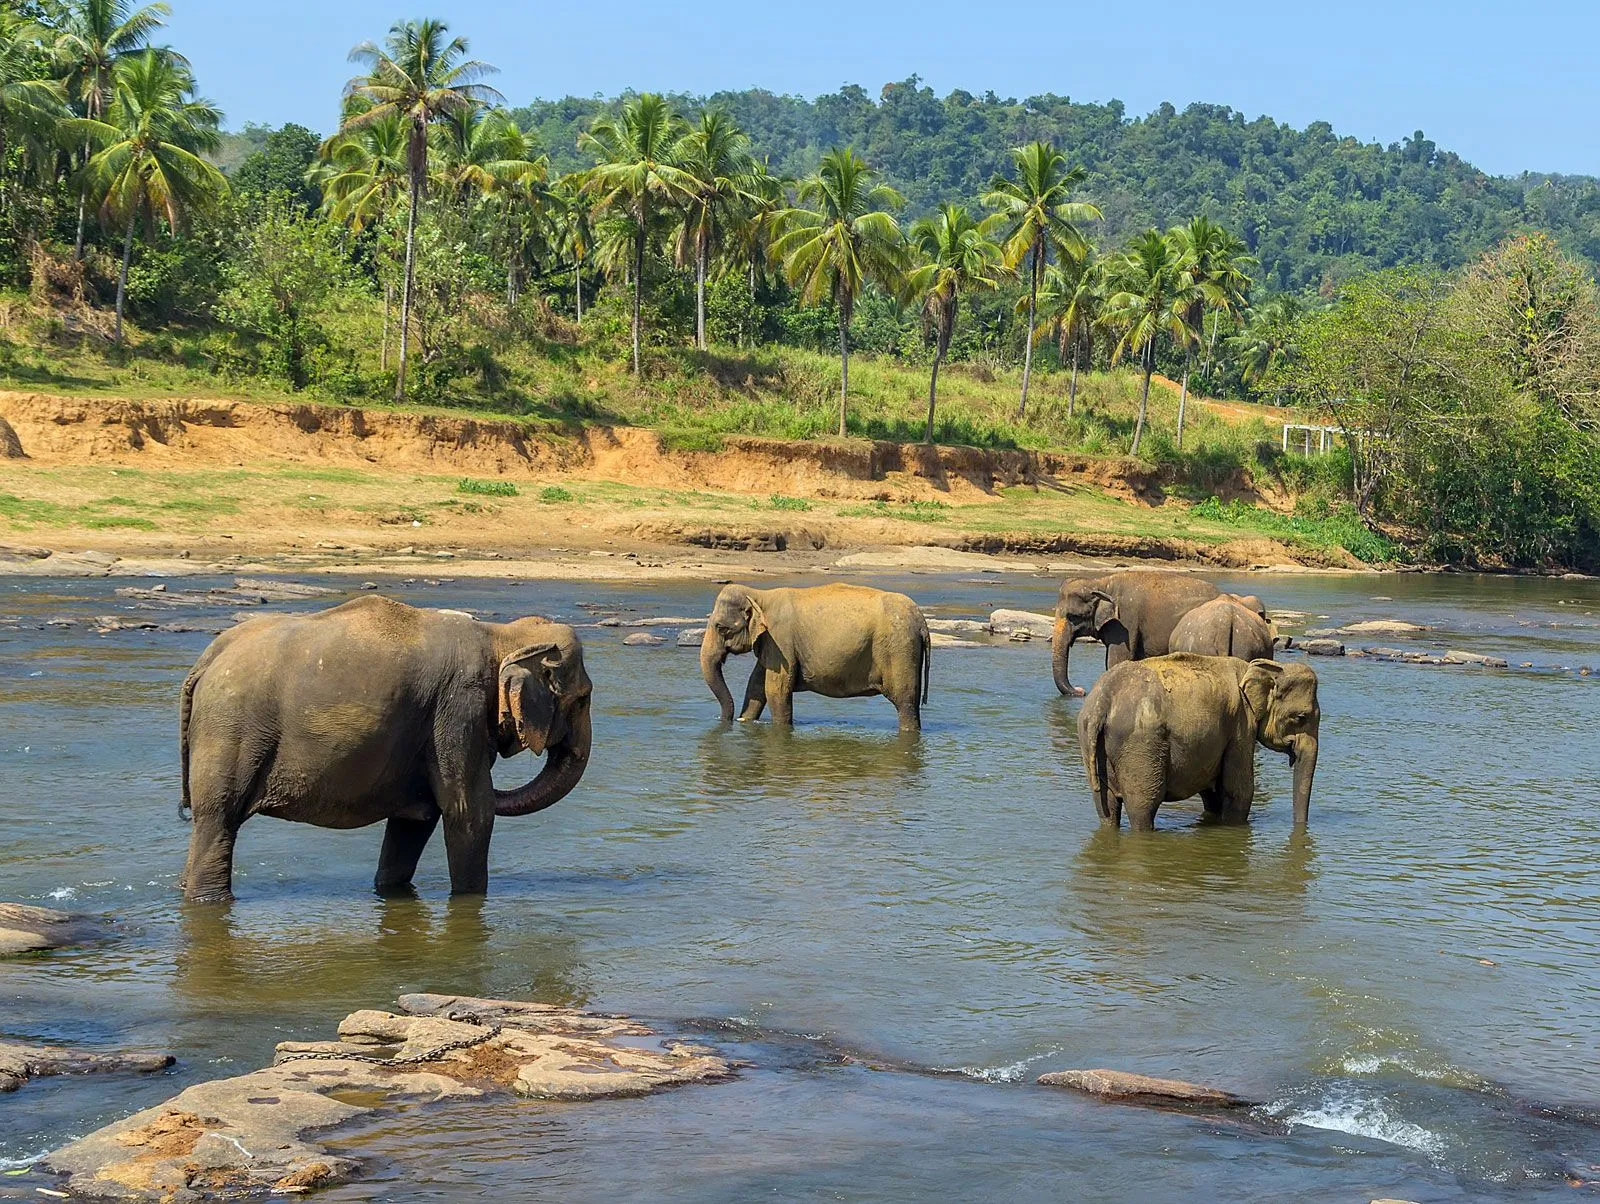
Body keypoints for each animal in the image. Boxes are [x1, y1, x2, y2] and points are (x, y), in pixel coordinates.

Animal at [175, 595, 598, 903]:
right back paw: (210, 902)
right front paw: (469, 901)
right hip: (231, 730)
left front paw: (391, 892)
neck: (499, 635)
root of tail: (206, 660)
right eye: (582, 698)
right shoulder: (459, 708)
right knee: (219, 819)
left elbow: (416, 819)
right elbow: (468, 810)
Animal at [697, 579, 934, 730]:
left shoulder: (780, 641)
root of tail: (921, 622)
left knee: (905, 702)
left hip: (899, 650)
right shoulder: (772, 644)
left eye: (721, 628)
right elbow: (756, 686)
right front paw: (745, 722)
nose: (725, 720)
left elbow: (776, 691)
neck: (759, 594)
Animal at [1075, 653, 1324, 832]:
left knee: (1105, 805)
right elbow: (1239, 790)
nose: (1301, 827)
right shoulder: (1241, 725)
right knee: (1143, 807)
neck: (1257, 667)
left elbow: (1213, 793)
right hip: (1140, 745)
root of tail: (1102, 702)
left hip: (1091, 741)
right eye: (1300, 718)